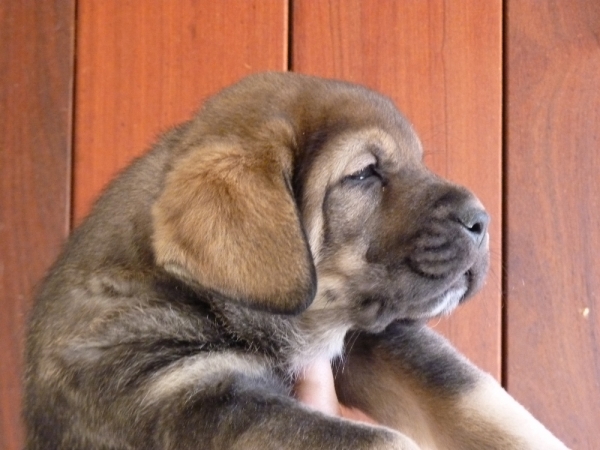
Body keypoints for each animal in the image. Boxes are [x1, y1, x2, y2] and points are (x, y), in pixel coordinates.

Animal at [23, 72, 568, 448]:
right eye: (364, 174)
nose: (482, 220)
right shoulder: (181, 396)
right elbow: (382, 439)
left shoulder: (375, 336)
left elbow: (475, 398)